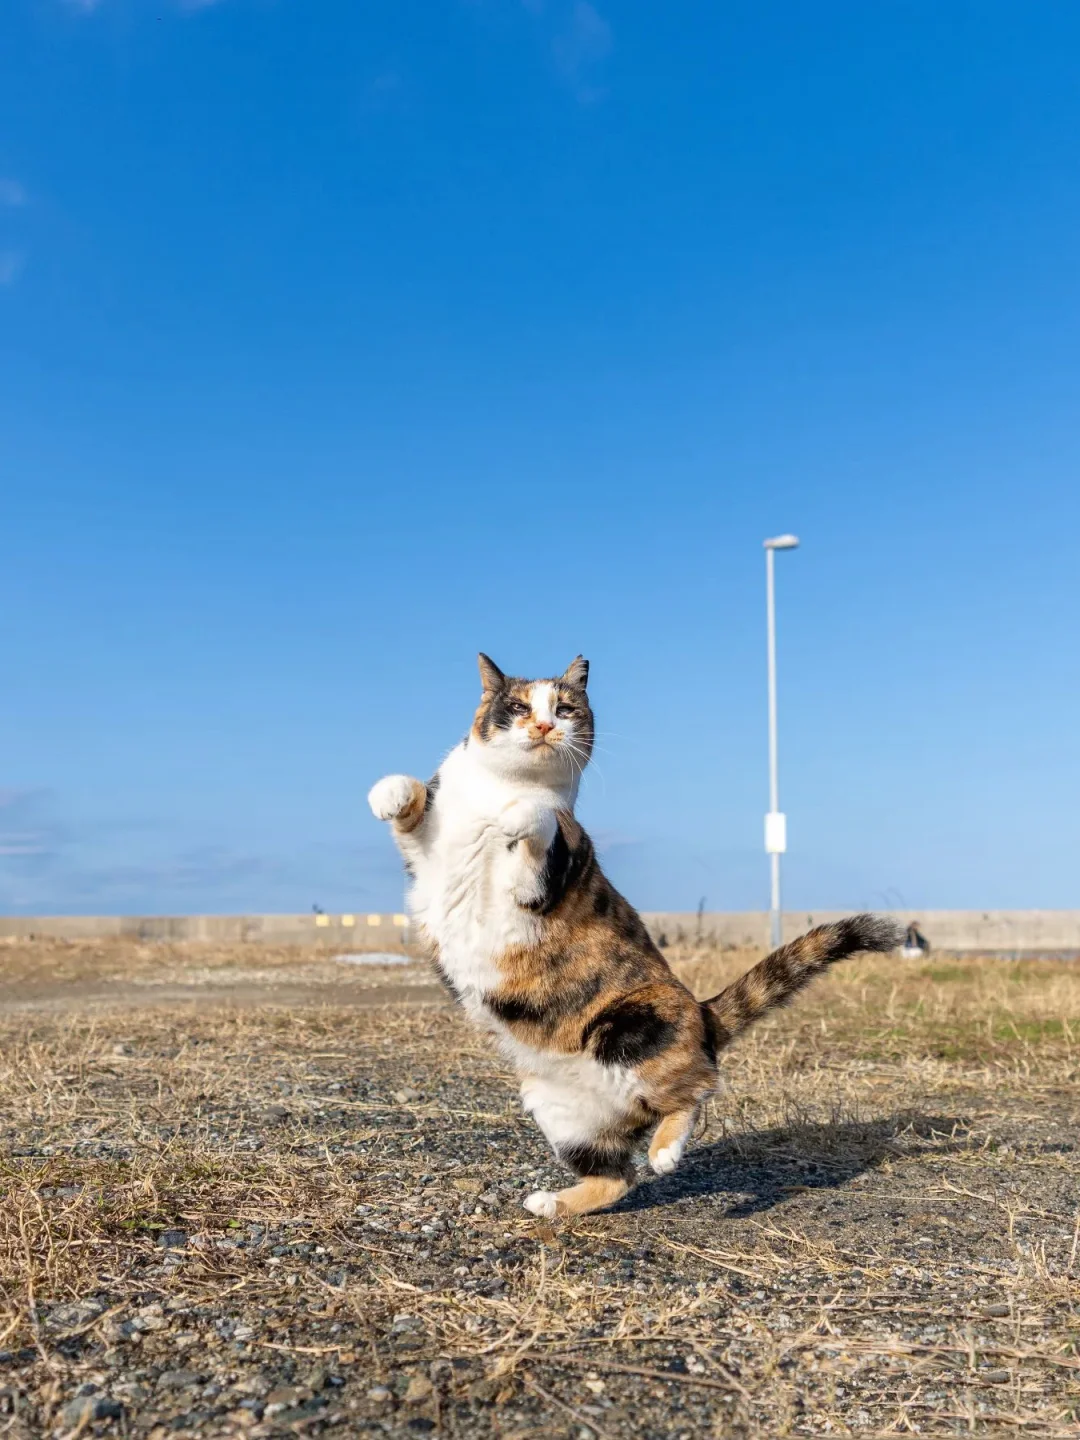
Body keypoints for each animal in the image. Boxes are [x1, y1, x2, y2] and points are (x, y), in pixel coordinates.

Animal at [368, 659, 898, 1221]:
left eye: (566, 708)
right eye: (516, 706)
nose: (544, 726)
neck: (504, 787)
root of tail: (704, 1012)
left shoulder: (546, 873)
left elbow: (538, 820)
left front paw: (518, 815)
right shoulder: (426, 851)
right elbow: (412, 800)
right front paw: (388, 794)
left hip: (630, 1024)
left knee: (697, 1089)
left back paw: (666, 1150)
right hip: (556, 1108)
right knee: (617, 1176)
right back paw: (553, 1202)